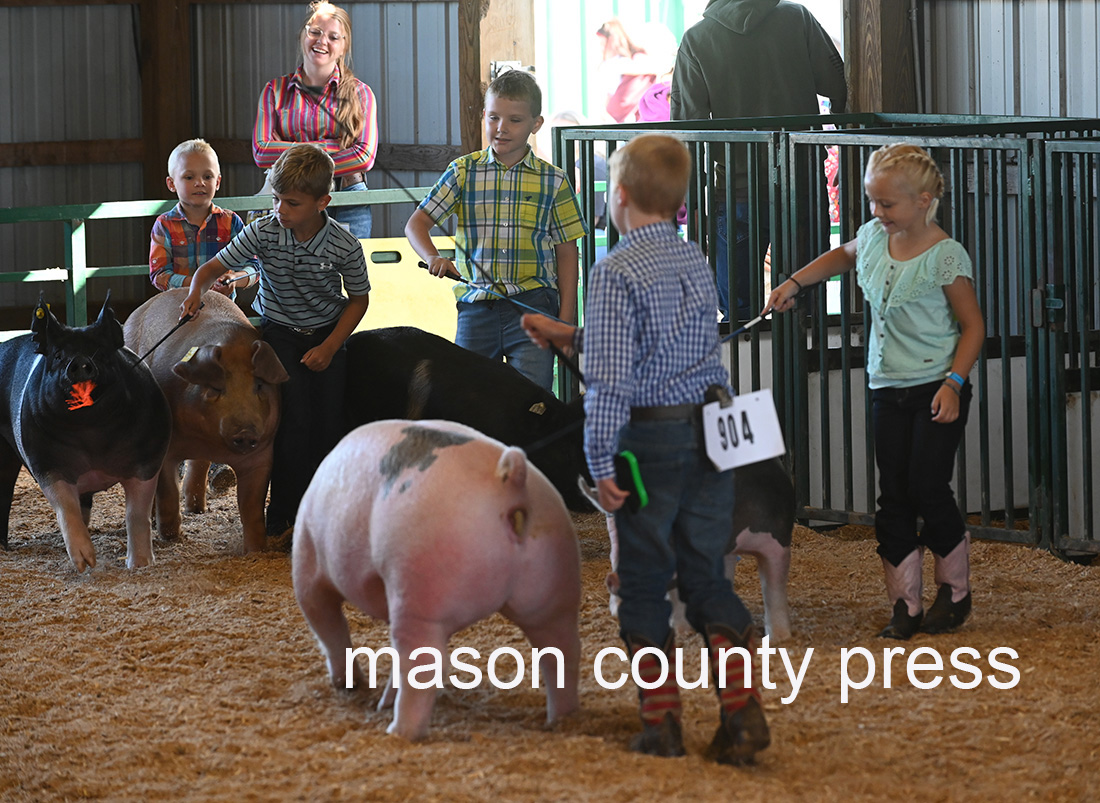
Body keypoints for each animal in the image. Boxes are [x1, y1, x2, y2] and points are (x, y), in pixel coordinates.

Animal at [0, 294, 170, 567]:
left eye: (100, 353)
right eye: (58, 355)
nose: (79, 362)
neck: (91, 435)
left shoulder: (148, 458)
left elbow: (136, 513)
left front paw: (140, 564)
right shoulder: (46, 463)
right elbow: (65, 508)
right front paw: (85, 562)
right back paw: (3, 549)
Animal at [292, 420, 585, 739]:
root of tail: (510, 479)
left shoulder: (307, 563)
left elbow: (327, 625)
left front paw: (348, 685)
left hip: (420, 584)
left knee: (423, 662)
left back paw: (398, 731)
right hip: (555, 588)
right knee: (561, 651)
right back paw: (560, 720)